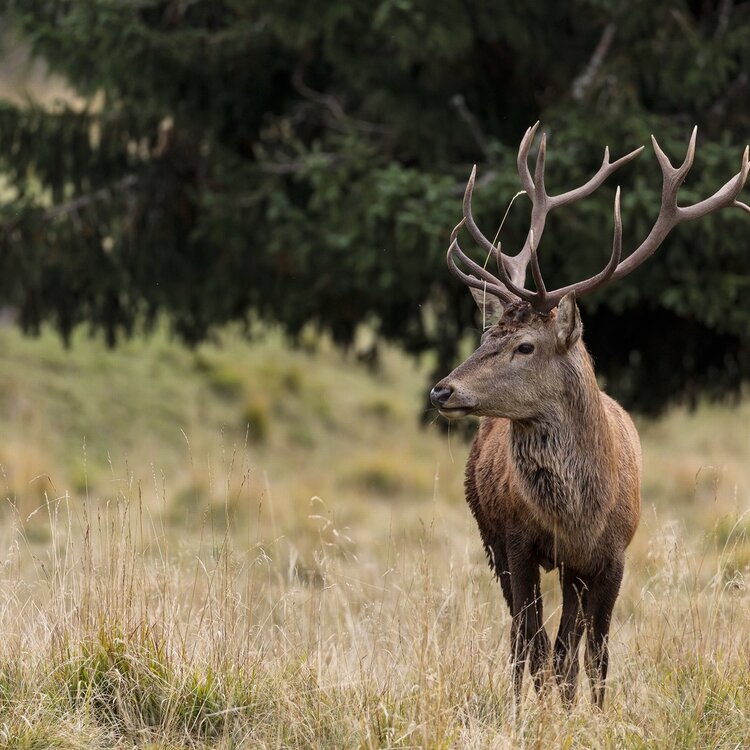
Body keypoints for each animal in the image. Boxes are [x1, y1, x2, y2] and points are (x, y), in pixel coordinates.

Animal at [430, 123, 749, 708]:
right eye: (486, 336)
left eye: (525, 346)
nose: (442, 390)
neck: (579, 515)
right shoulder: (517, 541)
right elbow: (531, 640)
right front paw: (528, 712)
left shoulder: (611, 554)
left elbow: (592, 651)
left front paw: (592, 713)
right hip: (487, 533)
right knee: (524, 634)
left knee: (568, 644)